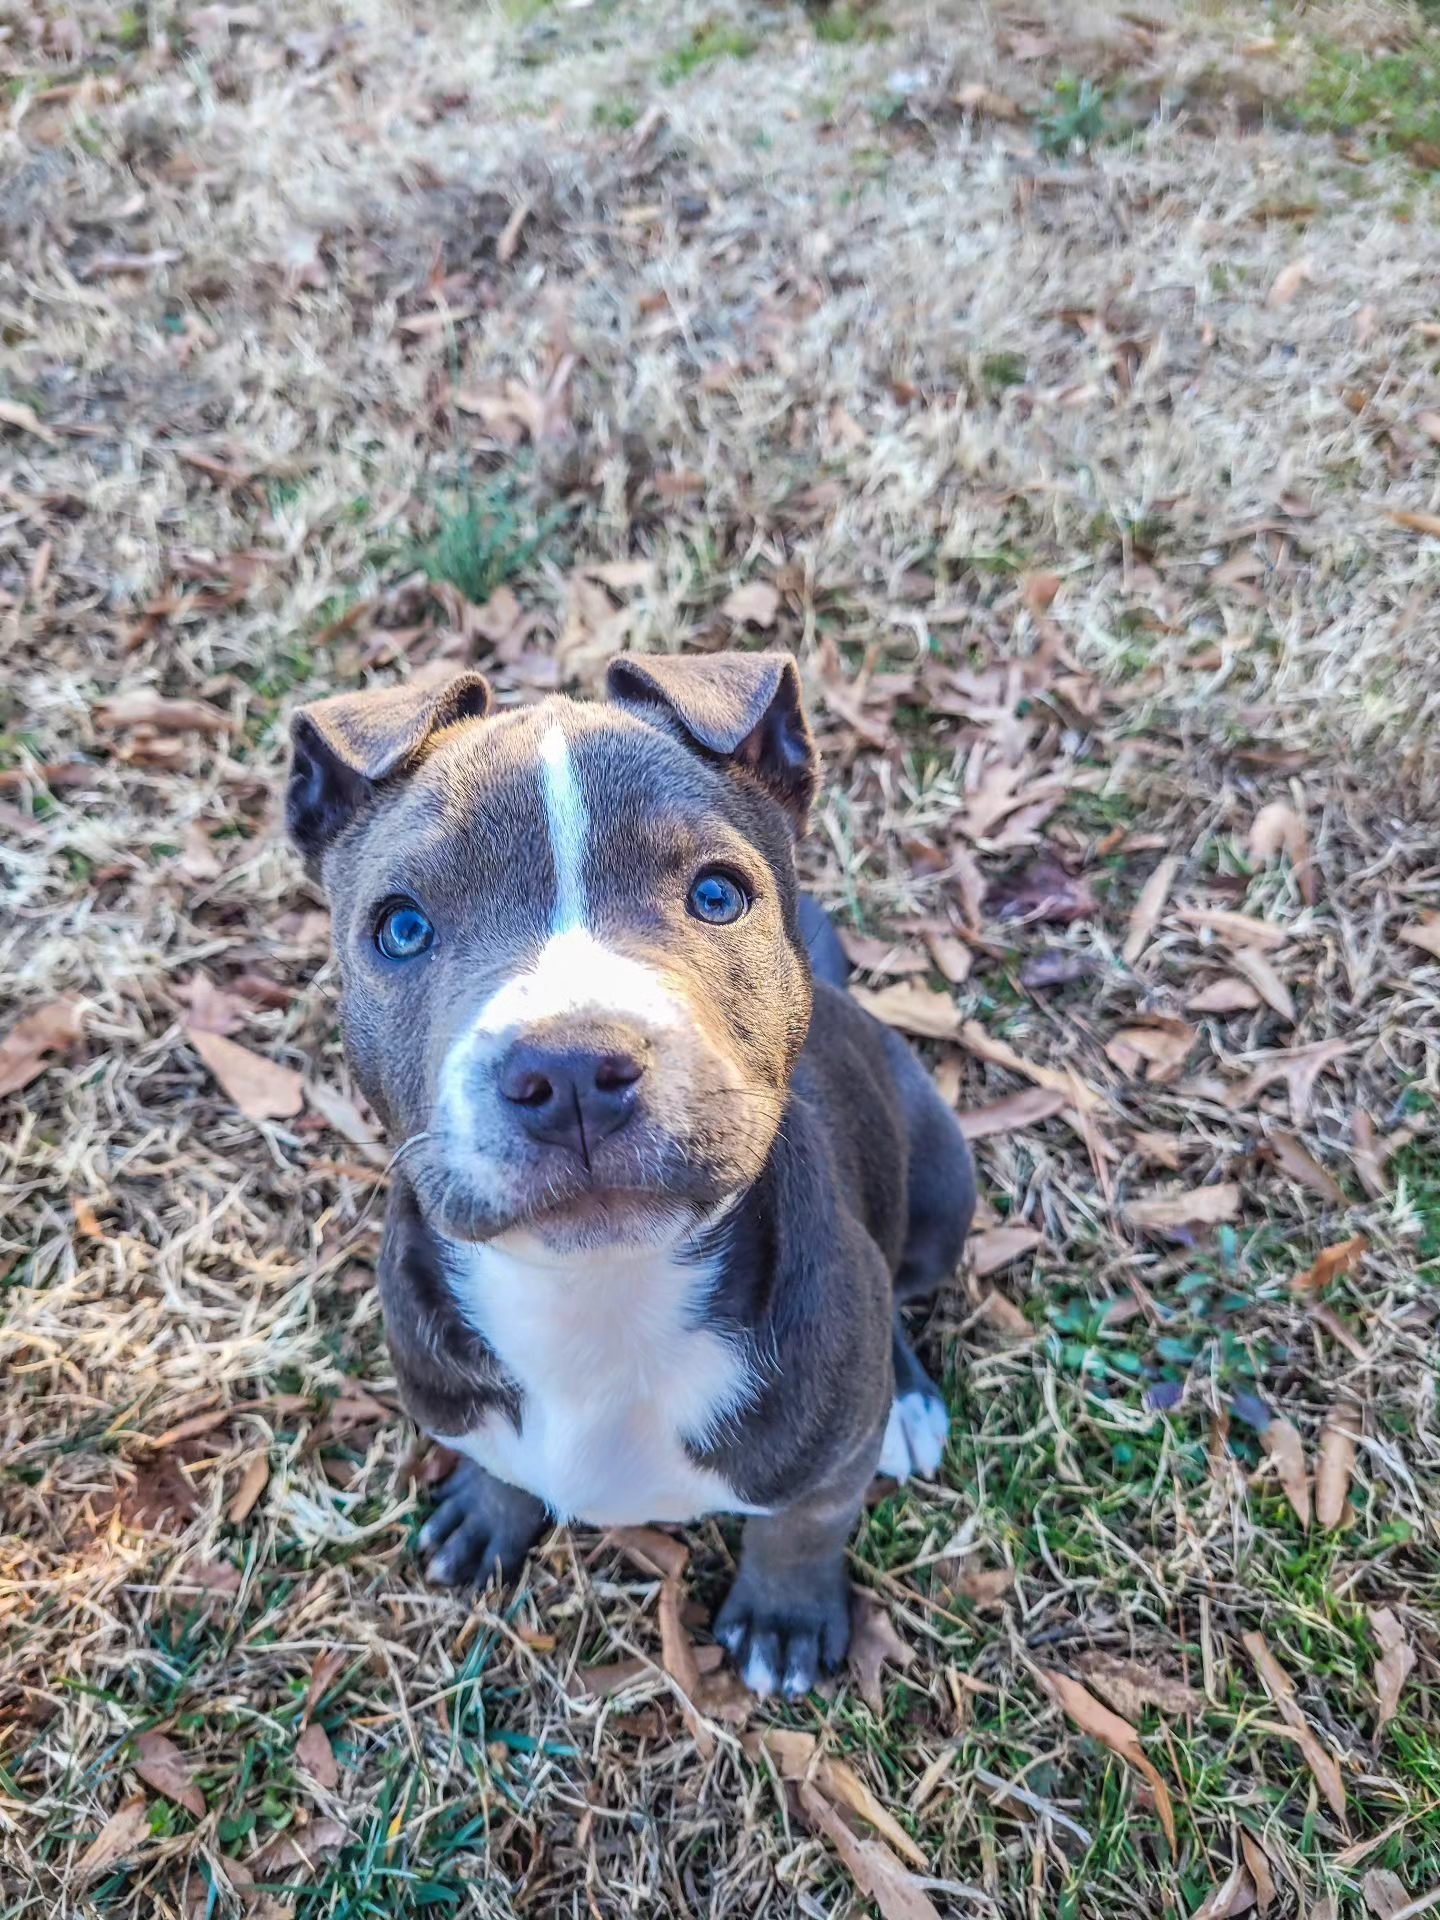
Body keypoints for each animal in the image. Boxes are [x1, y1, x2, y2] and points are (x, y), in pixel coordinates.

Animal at [287, 650, 975, 1697]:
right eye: (400, 929)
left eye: (718, 896)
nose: (571, 1068)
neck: (597, 1298)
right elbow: (499, 1459)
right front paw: (488, 1510)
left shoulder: (827, 1455)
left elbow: (807, 1523)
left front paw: (784, 1617)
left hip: (940, 1181)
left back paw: (907, 1401)